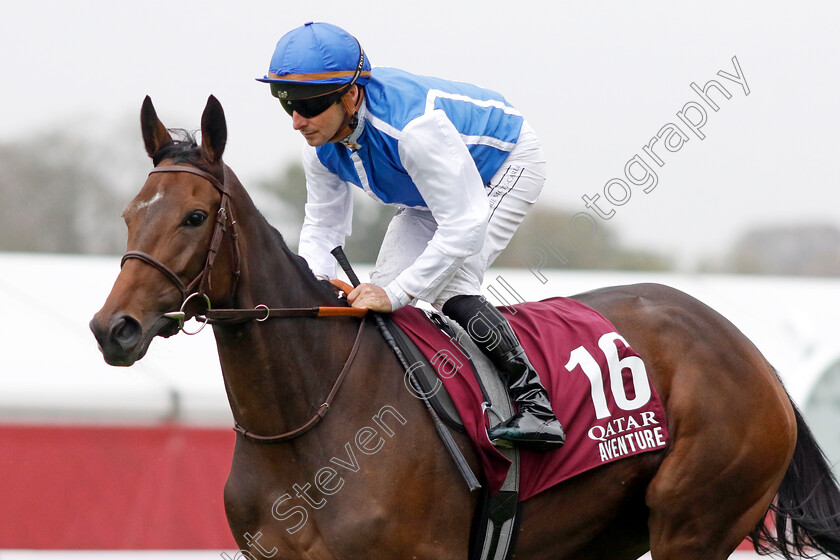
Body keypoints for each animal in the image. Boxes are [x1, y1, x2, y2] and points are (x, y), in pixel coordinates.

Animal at [92, 94, 840, 556]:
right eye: (128, 214)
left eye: (194, 217)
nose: (112, 329)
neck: (306, 423)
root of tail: (751, 351)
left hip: (697, 520)